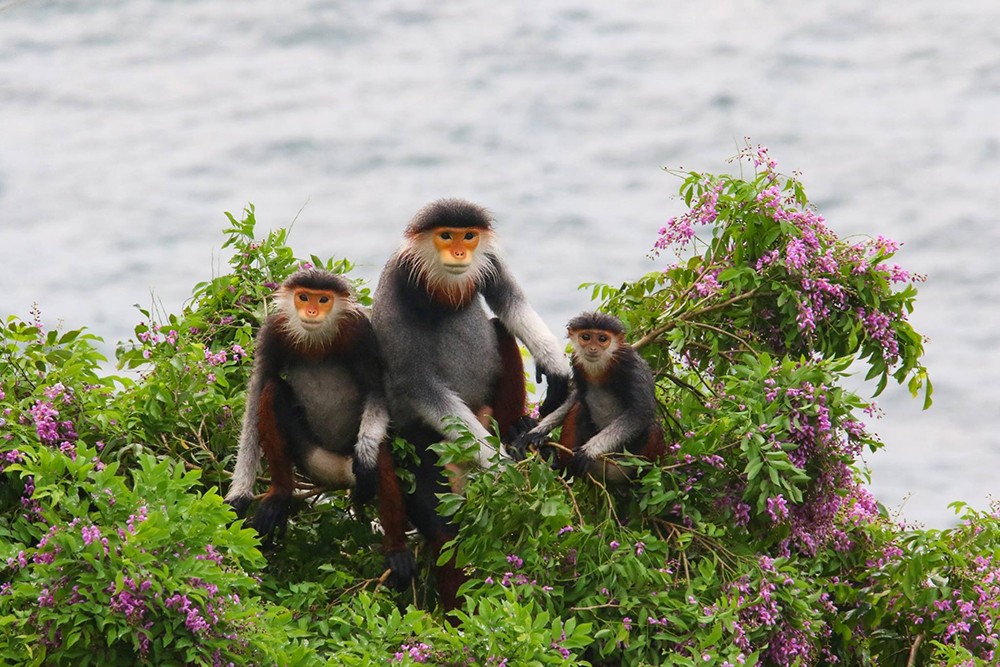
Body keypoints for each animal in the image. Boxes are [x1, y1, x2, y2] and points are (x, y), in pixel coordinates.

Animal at [225, 268, 412, 588]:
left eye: (323, 300)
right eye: (303, 297)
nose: (311, 311)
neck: (316, 339)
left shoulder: (359, 331)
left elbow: (376, 392)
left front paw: (366, 456)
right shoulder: (274, 332)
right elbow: (258, 391)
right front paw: (238, 497)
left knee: (381, 457)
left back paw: (397, 549)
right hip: (308, 453)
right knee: (272, 391)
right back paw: (279, 495)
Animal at [368, 198, 572, 612]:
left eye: (469, 236)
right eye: (446, 236)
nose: (460, 253)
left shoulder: (488, 259)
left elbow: (510, 300)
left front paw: (558, 372)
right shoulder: (398, 283)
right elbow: (418, 383)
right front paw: (500, 467)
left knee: (499, 328)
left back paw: (517, 429)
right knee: (442, 525)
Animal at [512, 310, 668, 482]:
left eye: (602, 339)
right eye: (586, 337)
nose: (592, 348)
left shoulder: (630, 363)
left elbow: (641, 412)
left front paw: (589, 450)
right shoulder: (577, 361)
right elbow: (576, 396)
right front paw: (536, 432)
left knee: (653, 426)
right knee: (578, 407)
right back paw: (560, 464)